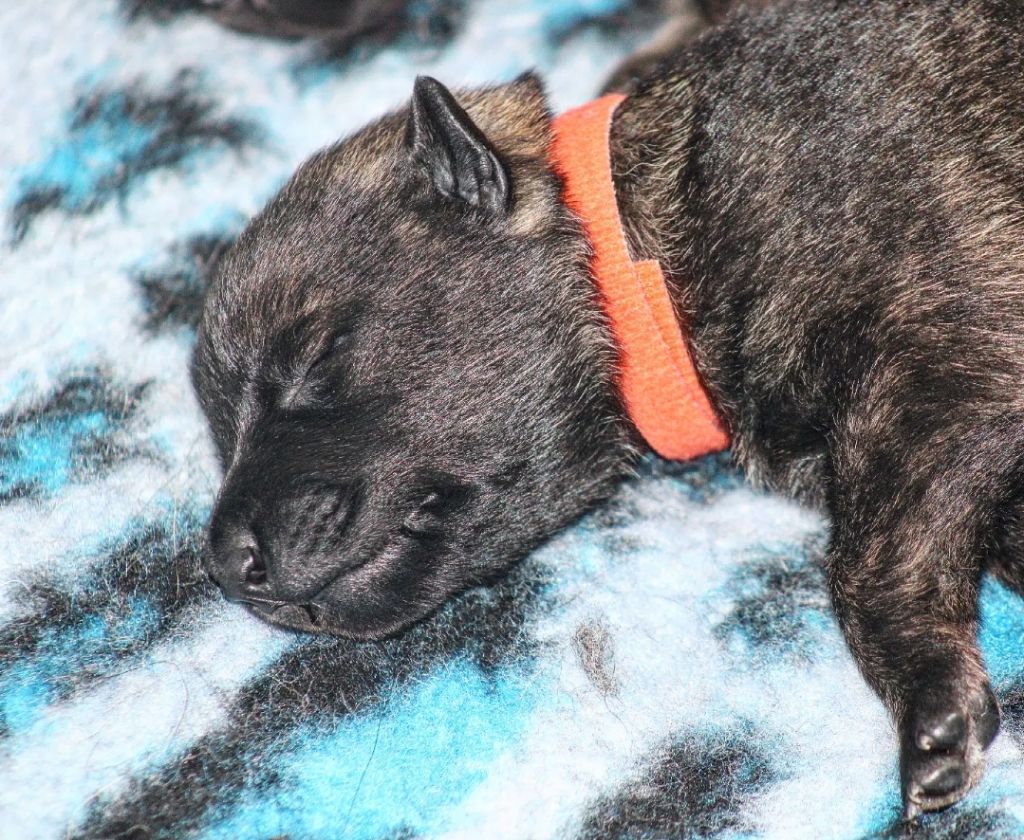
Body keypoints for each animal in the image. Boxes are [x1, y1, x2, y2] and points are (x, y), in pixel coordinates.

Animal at [191, 0, 1024, 818]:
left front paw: (927, 699)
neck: (639, 253)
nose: (228, 566)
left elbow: (864, 563)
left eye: (315, 358)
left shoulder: (938, 354)